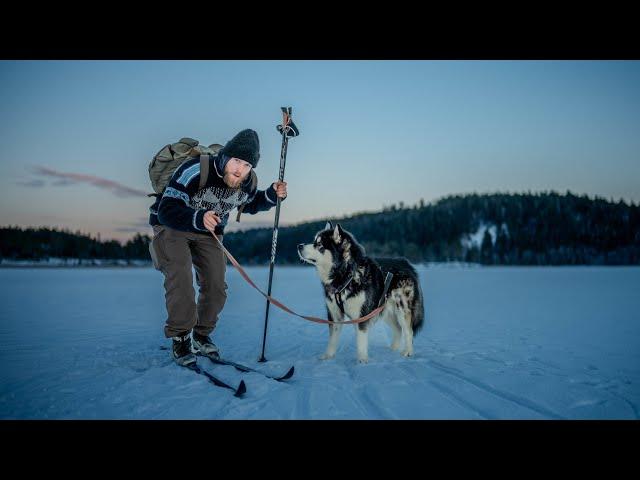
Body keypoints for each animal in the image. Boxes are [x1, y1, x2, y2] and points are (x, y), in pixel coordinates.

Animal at [296, 223, 424, 362]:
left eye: (319, 245)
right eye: (314, 241)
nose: (299, 246)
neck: (346, 275)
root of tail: (406, 263)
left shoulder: (362, 314)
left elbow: (361, 339)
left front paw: (362, 360)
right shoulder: (334, 314)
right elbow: (332, 339)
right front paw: (328, 356)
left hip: (402, 309)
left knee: (408, 331)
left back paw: (408, 352)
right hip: (385, 310)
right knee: (398, 329)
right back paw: (392, 349)